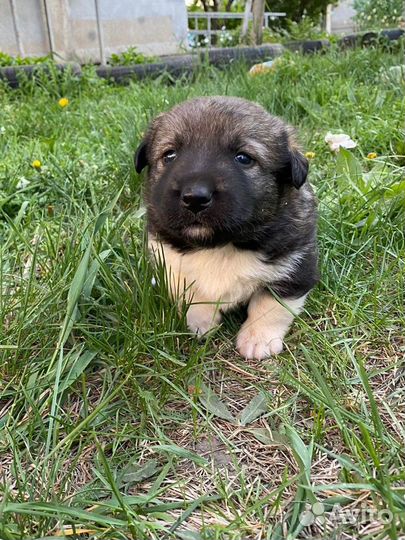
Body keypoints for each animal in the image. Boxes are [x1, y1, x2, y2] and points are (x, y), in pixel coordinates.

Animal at [134, 97, 318, 360]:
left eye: (244, 158)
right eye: (170, 155)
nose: (195, 197)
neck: (220, 245)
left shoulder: (295, 265)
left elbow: (270, 306)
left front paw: (257, 339)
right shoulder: (169, 262)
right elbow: (191, 295)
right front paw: (199, 324)